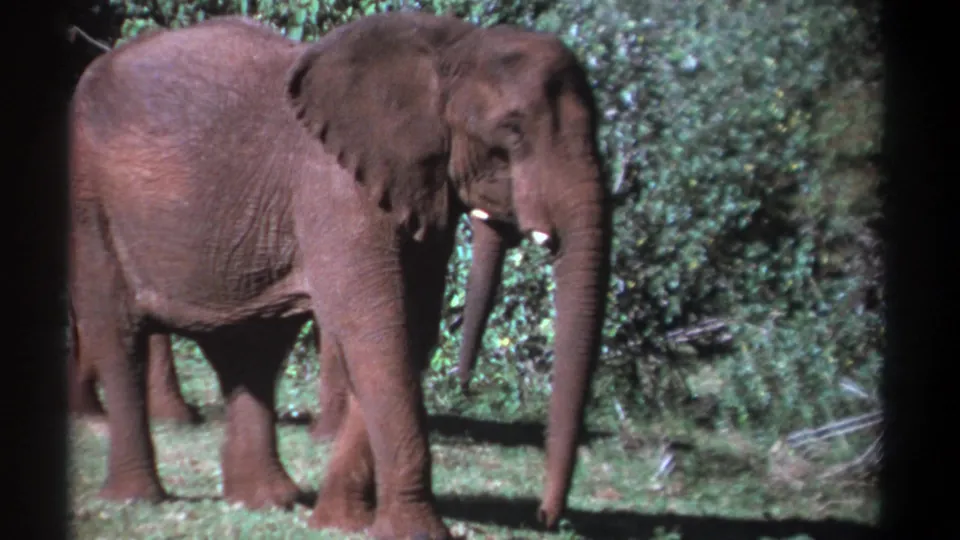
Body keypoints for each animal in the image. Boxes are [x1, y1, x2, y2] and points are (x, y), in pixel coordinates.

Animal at [68, 12, 610, 539]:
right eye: (513, 131)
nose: (546, 518)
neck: (452, 47)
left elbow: (407, 333)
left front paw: (338, 522)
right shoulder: (336, 187)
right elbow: (376, 329)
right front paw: (413, 533)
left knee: (250, 352)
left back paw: (267, 501)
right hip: (90, 202)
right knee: (119, 335)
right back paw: (138, 498)